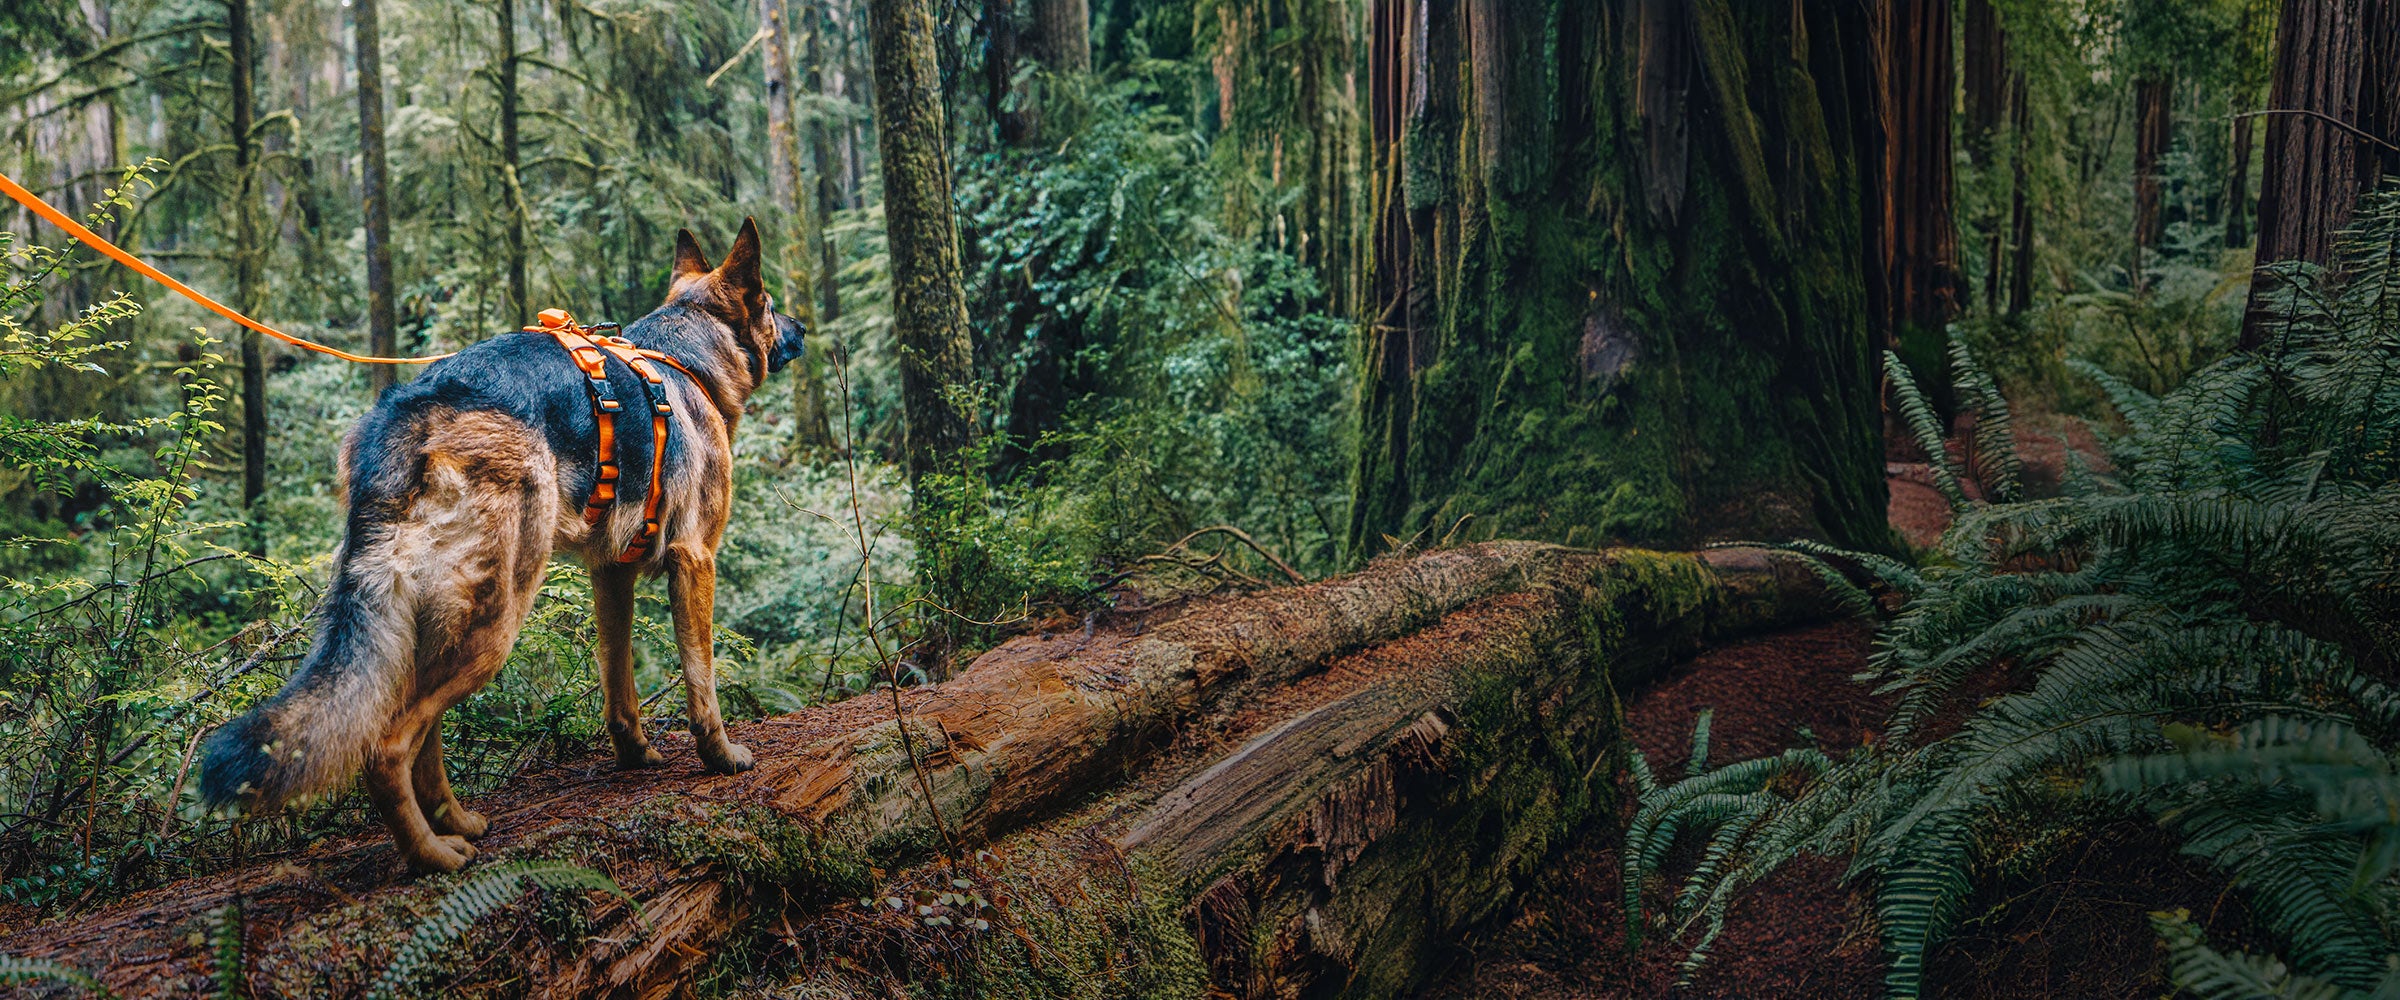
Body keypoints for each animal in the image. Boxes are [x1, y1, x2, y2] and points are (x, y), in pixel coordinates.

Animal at [196, 218, 796, 863]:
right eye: (770, 304)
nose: (803, 328)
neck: (684, 359)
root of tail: (409, 414)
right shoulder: (695, 561)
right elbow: (701, 679)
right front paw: (721, 756)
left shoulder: (610, 575)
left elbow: (619, 685)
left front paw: (635, 754)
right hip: (495, 621)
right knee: (387, 746)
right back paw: (431, 856)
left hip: (436, 622)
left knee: (423, 737)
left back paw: (456, 822)